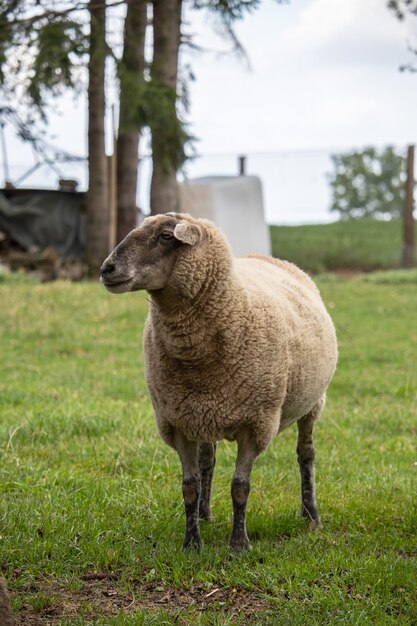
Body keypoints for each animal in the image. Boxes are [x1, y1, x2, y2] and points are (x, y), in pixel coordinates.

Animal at [101, 212, 338, 548]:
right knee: (207, 461)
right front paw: (191, 543)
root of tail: (266, 256)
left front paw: (239, 545)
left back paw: (311, 516)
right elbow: (189, 486)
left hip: (313, 403)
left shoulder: (256, 424)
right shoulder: (177, 422)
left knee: (306, 455)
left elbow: (240, 486)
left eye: (165, 236)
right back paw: (204, 514)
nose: (106, 269)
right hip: (203, 413)